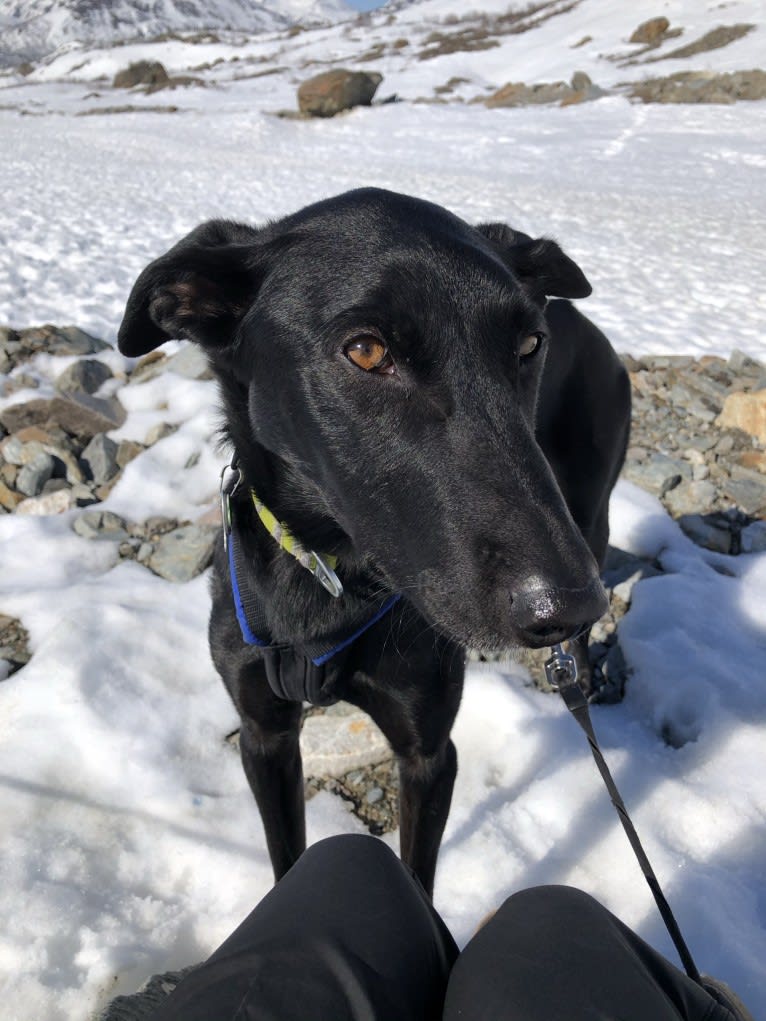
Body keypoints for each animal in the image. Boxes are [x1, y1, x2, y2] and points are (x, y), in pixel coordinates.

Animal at [118, 189, 629, 894]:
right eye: (365, 351)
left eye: (530, 344)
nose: (566, 606)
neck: (326, 573)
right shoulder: (263, 733)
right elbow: (285, 854)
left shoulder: (428, 750)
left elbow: (417, 875)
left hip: (589, 515)